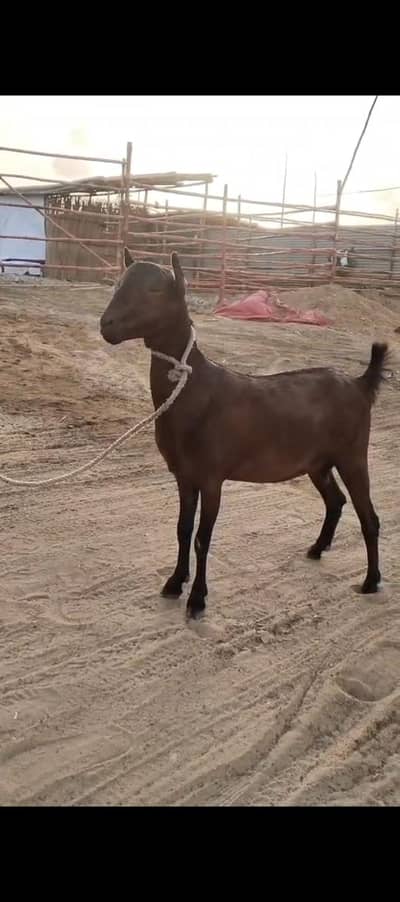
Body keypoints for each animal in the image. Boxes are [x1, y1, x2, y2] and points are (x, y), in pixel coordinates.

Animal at [100, 249, 387, 618]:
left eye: (154, 290)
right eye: (118, 283)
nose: (106, 325)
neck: (193, 391)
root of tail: (359, 383)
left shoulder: (211, 477)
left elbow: (202, 538)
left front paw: (197, 599)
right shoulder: (183, 475)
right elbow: (182, 530)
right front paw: (174, 583)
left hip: (352, 455)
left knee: (369, 517)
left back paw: (371, 581)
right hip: (317, 462)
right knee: (335, 500)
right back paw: (317, 549)